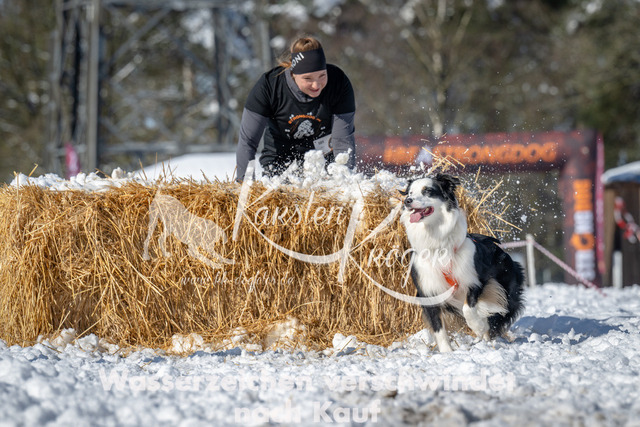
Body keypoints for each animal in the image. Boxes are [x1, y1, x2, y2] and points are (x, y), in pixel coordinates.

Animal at [399, 173, 524, 352]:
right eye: (410, 192)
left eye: (427, 191)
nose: (407, 201)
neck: (438, 246)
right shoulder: (428, 290)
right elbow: (439, 328)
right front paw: (447, 352)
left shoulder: (475, 280)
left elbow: (468, 309)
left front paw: (479, 327)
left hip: (507, 291)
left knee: (498, 316)